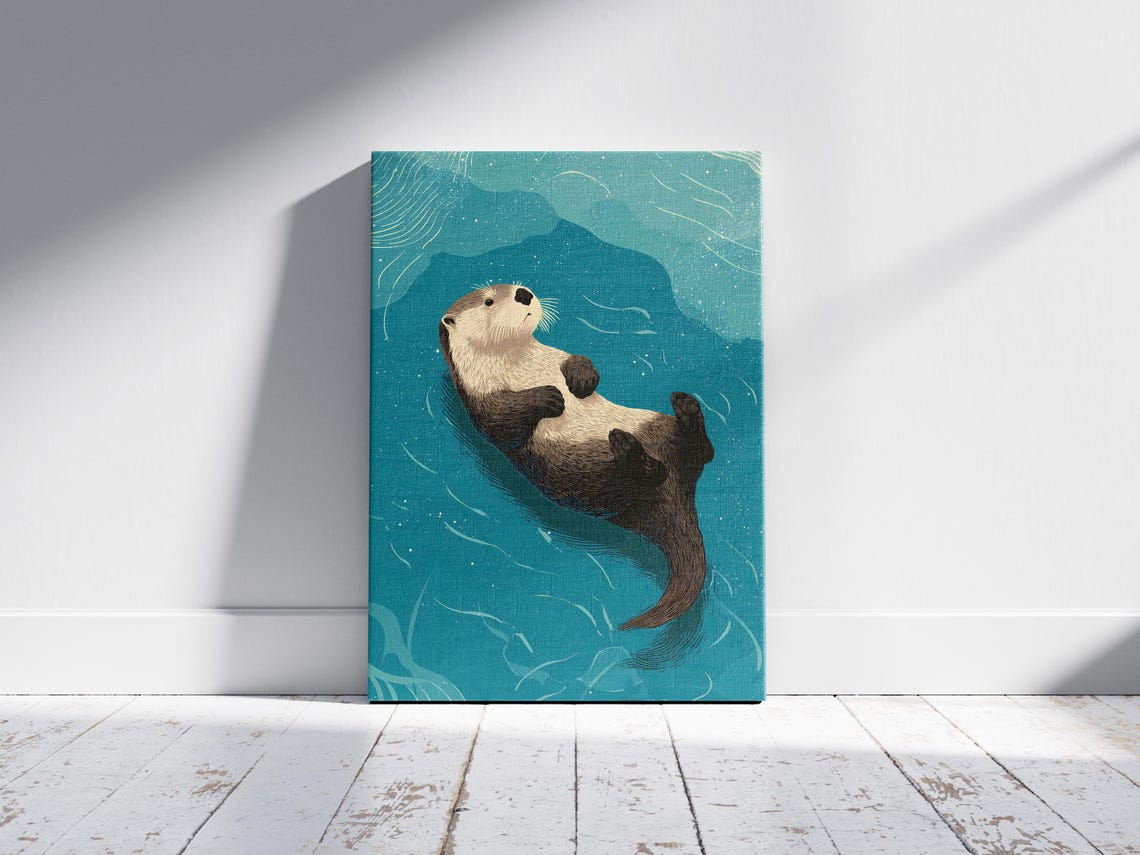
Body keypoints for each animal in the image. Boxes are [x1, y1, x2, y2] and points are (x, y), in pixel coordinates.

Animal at [438, 282, 715, 630]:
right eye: (489, 300)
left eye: (516, 284)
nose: (524, 294)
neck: (520, 365)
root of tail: (678, 491)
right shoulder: (481, 399)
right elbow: (503, 421)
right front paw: (550, 396)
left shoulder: (557, 353)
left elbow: (581, 359)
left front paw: (579, 380)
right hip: (584, 477)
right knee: (654, 474)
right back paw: (628, 448)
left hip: (658, 426)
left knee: (703, 453)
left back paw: (683, 407)